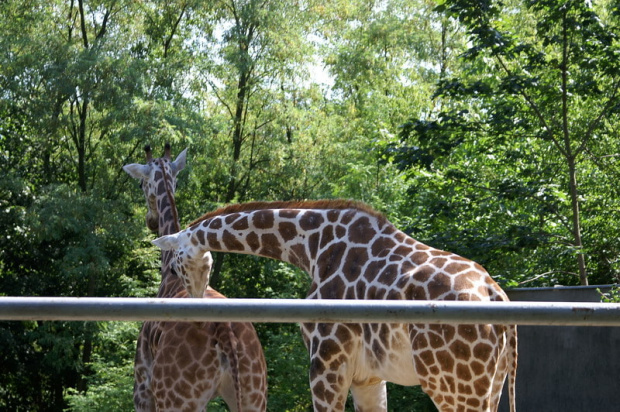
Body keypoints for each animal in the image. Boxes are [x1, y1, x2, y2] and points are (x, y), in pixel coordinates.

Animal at [122, 146, 266, 412]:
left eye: (141, 183)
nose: (150, 220)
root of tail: (224, 330)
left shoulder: (142, 387)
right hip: (254, 394)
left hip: (176, 399)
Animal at [153, 200, 516, 412]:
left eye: (175, 267)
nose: (196, 305)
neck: (312, 247)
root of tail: (495, 295)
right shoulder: (368, 376)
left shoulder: (326, 363)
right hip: (491, 385)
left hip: (452, 385)